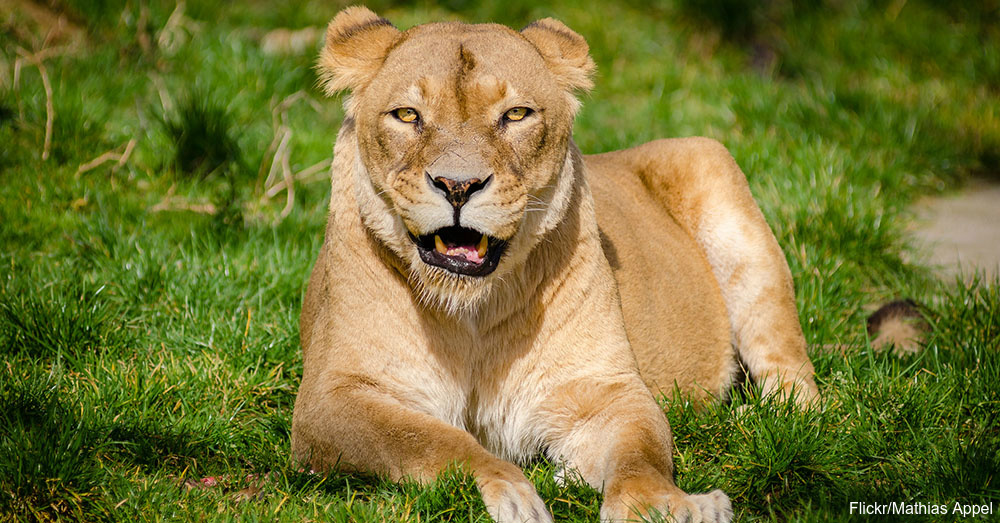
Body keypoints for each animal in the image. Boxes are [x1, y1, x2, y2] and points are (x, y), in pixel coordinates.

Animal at [291, 7, 819, 523]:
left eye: (516, 114)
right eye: (406, 114)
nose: (458, 186)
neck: (471, 314)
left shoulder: (605, 388)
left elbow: (641, 456)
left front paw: (663, 507)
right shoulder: (329, 400)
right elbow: (433, 440)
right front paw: (512, 494)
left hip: (714, 175)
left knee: (799, 384)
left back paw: (761, 421)